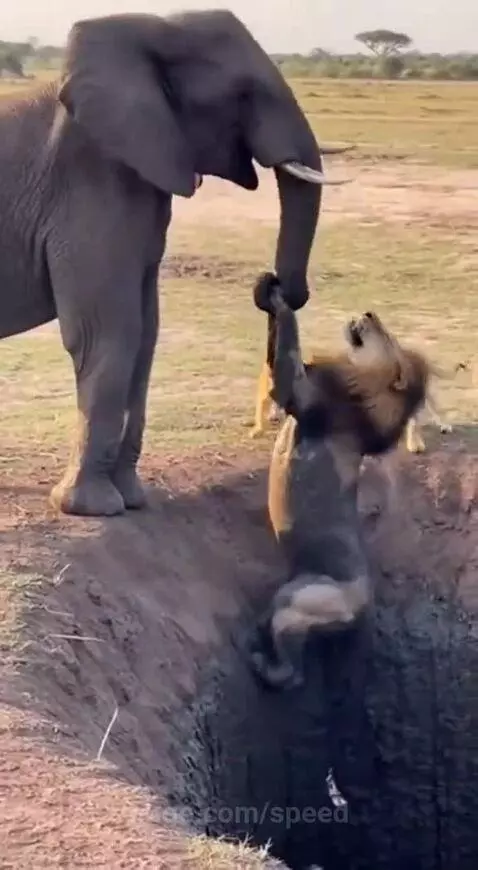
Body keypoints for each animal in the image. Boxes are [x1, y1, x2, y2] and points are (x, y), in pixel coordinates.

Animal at [0, 10, 351, 518]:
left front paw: (132, 500)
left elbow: (146, 332)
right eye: (243, 94)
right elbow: (108, 331)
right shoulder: (90, 185)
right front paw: (92, 509)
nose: (273, 286)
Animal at [247, 272, 433, 691]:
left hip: (302, 600)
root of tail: (366, 605)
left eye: (385, 334)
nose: (369, 312)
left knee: (294, 670)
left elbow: (287, 344)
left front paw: (276, 295)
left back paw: (266, 666)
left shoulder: (301, 393)